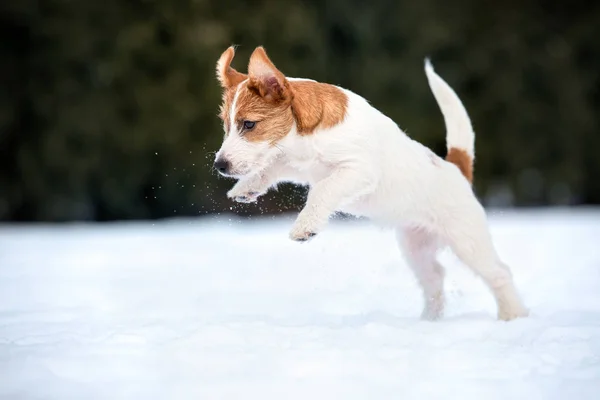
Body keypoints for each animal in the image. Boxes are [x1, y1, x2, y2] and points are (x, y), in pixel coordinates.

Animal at [212, 46, 528, 322]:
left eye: (249, 124)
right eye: (226, 126)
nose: (220, 165)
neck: (302, 136)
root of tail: (455, 168)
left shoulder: (358, 170)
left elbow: (323, 190)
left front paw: (305, 227)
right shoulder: (292, 160)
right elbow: (270, 166)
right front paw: (246, 188)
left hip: (468, 240)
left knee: (499, 273)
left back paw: (513, 316)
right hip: (416, 247)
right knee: (435, 278)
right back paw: (429, 321)